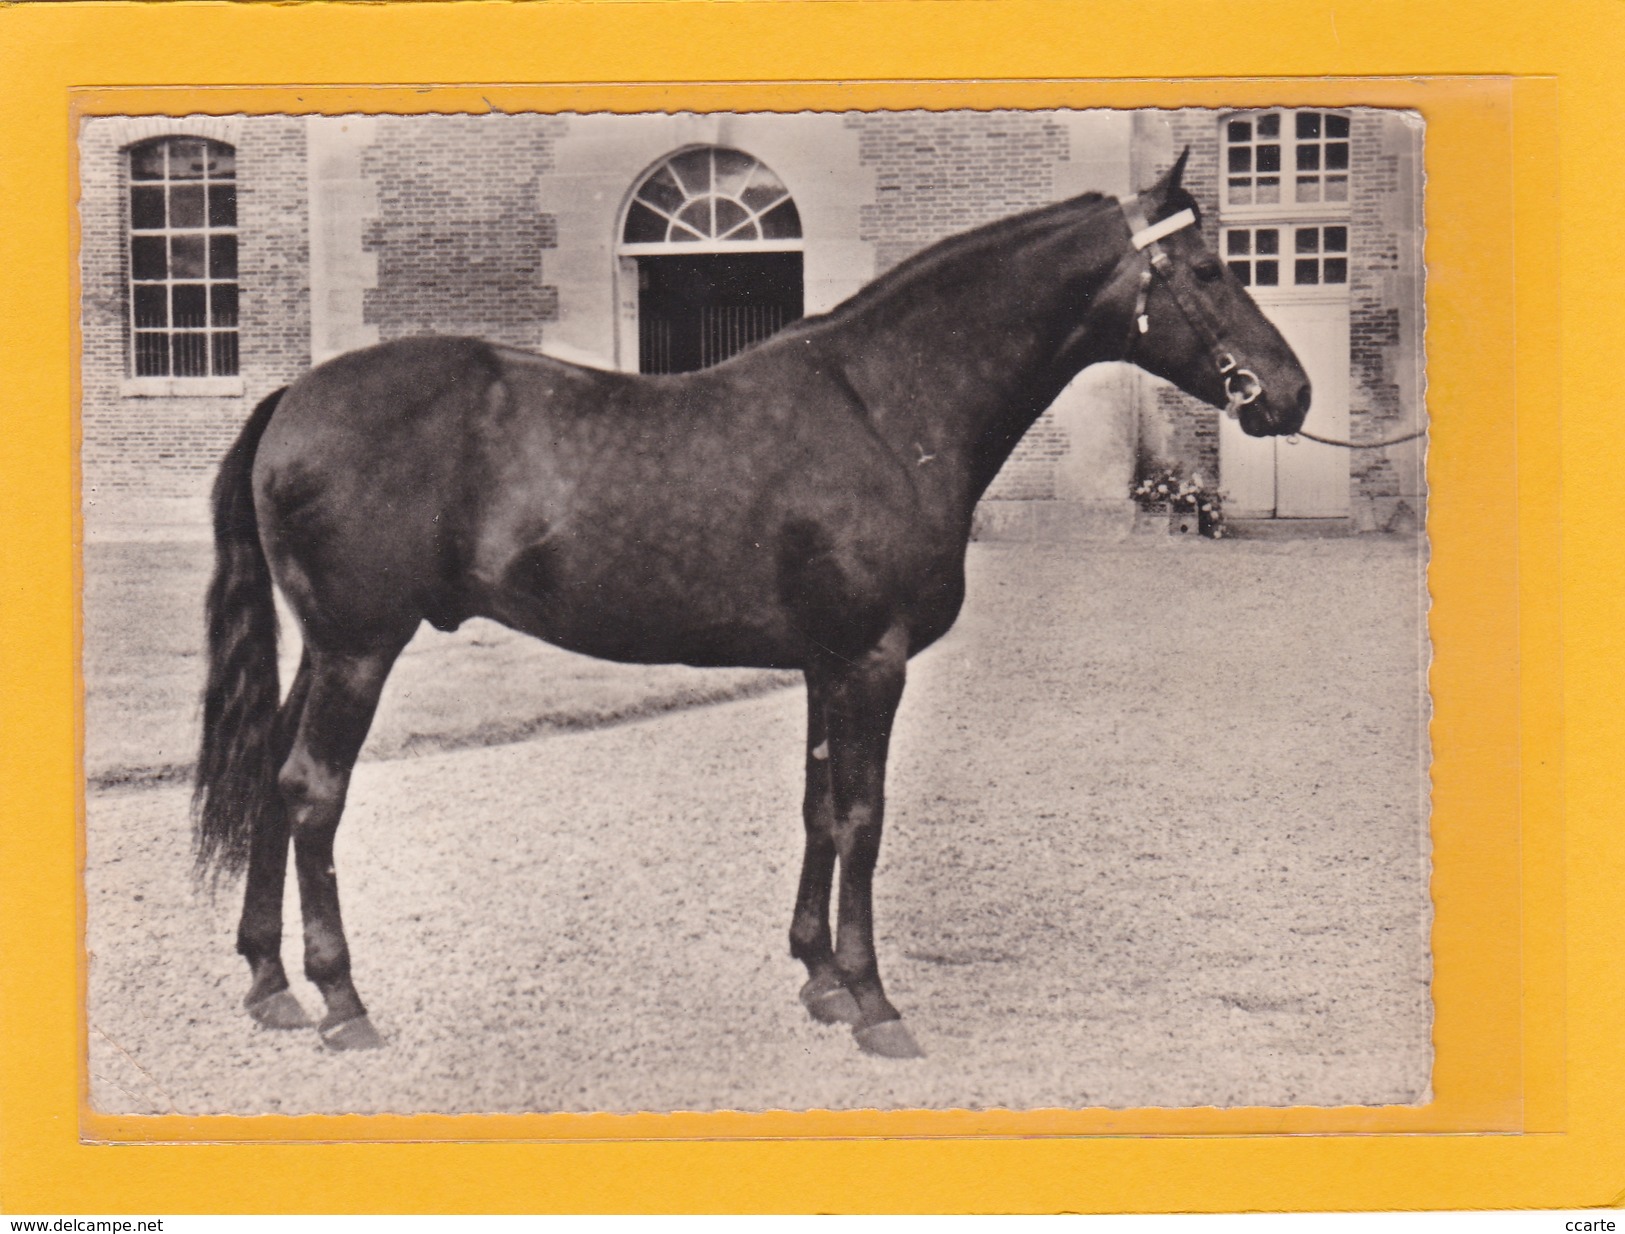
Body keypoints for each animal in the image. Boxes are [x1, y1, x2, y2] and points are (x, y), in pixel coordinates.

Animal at [193, 152, 1306, 1060]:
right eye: (1207, 269)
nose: (1288, 393)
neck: (884, 407)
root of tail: (293, 399)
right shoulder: (870, 660)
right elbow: (861, 816)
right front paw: (874, 1002)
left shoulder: (828, 662)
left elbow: (817, 806)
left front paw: (818, 979)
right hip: (359, 647)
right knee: (311, 790)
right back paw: (341, 1000)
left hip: (323, 646)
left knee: (271, 776)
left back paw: (268, 983)